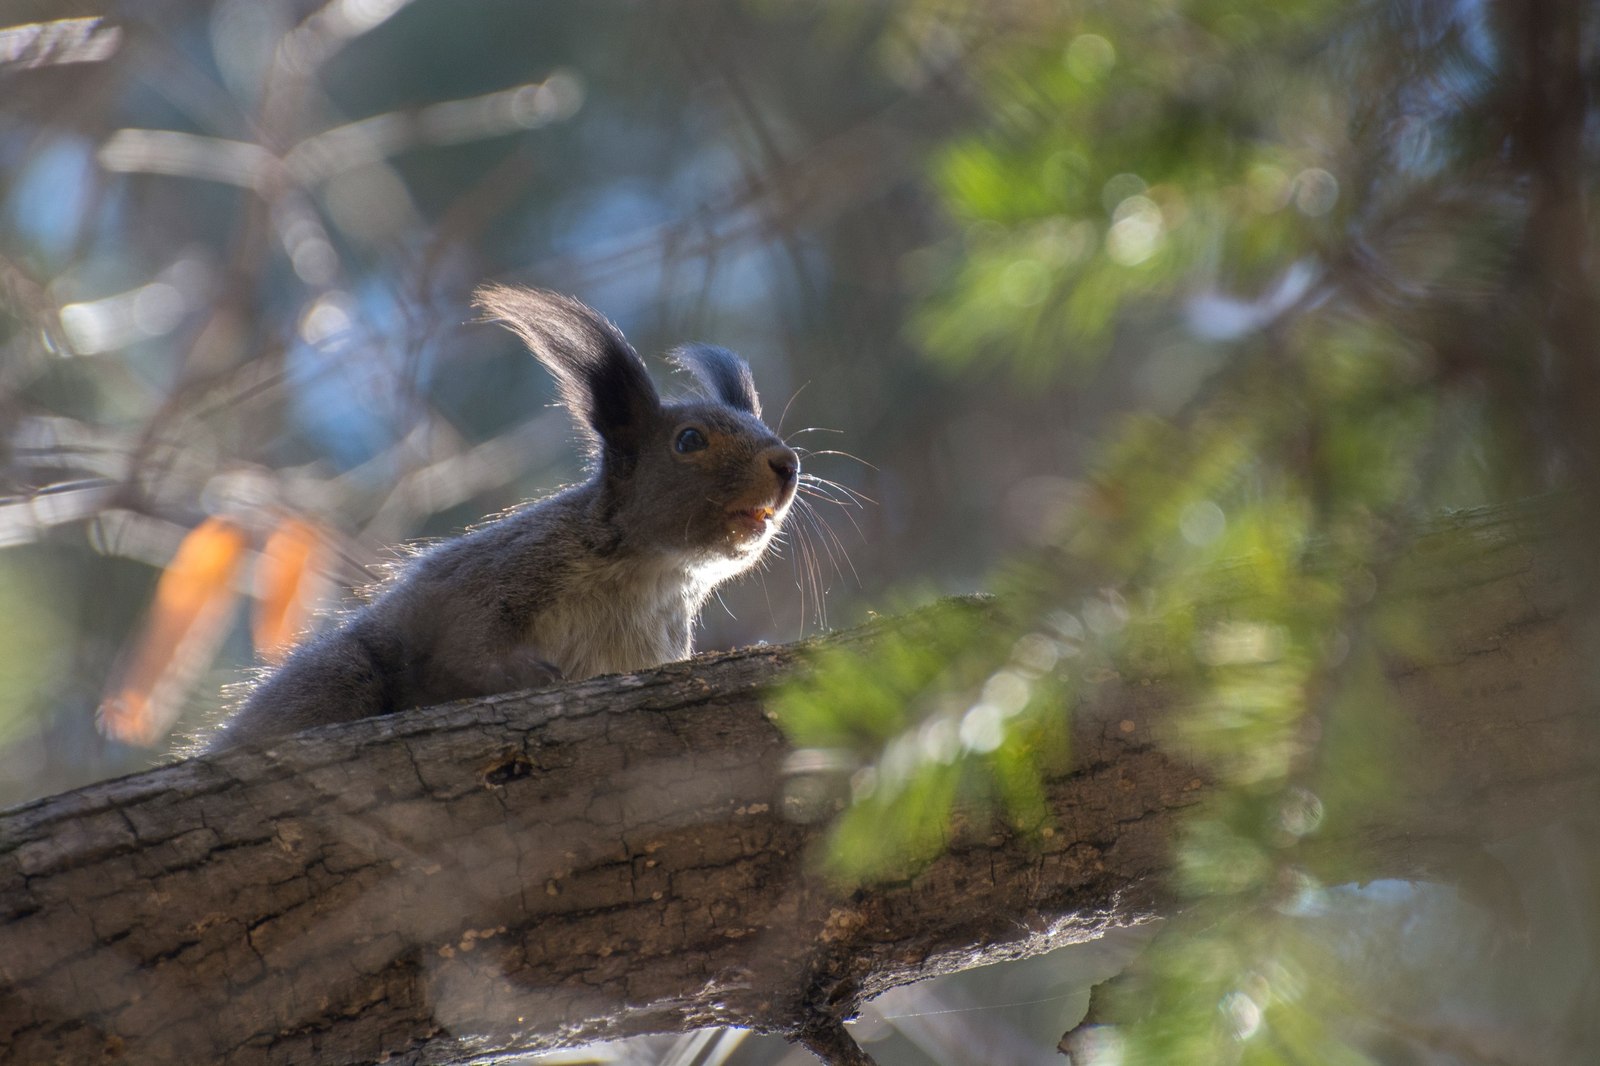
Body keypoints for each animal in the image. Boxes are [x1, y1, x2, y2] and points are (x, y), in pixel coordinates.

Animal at [212, 284, 800, 745]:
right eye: (689, 440)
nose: (788, 464)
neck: (653, 574)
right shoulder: (498, 575)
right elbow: (466, 649)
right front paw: (533, 676)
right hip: (339, 674)